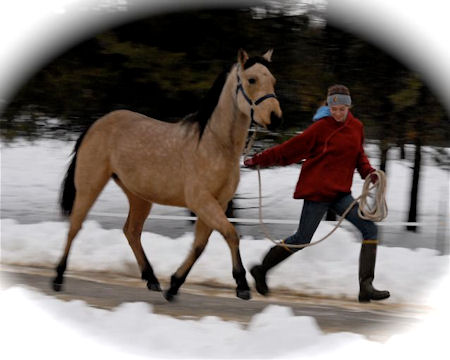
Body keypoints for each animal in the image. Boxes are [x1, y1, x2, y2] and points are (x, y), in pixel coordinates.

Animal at [53, 48, 282, 300]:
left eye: (273, 80)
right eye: (252, 80)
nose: (275, 117)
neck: (215, 145)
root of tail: (96, 124)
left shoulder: (218, 203)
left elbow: (200, 244)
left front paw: (174, 285)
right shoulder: (202, 201)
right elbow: (230, 234)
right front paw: (241, 285)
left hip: (139, 196)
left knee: (131, 231)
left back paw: (152, 280)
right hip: (90, 185)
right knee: (75, 226)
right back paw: (58, 278)